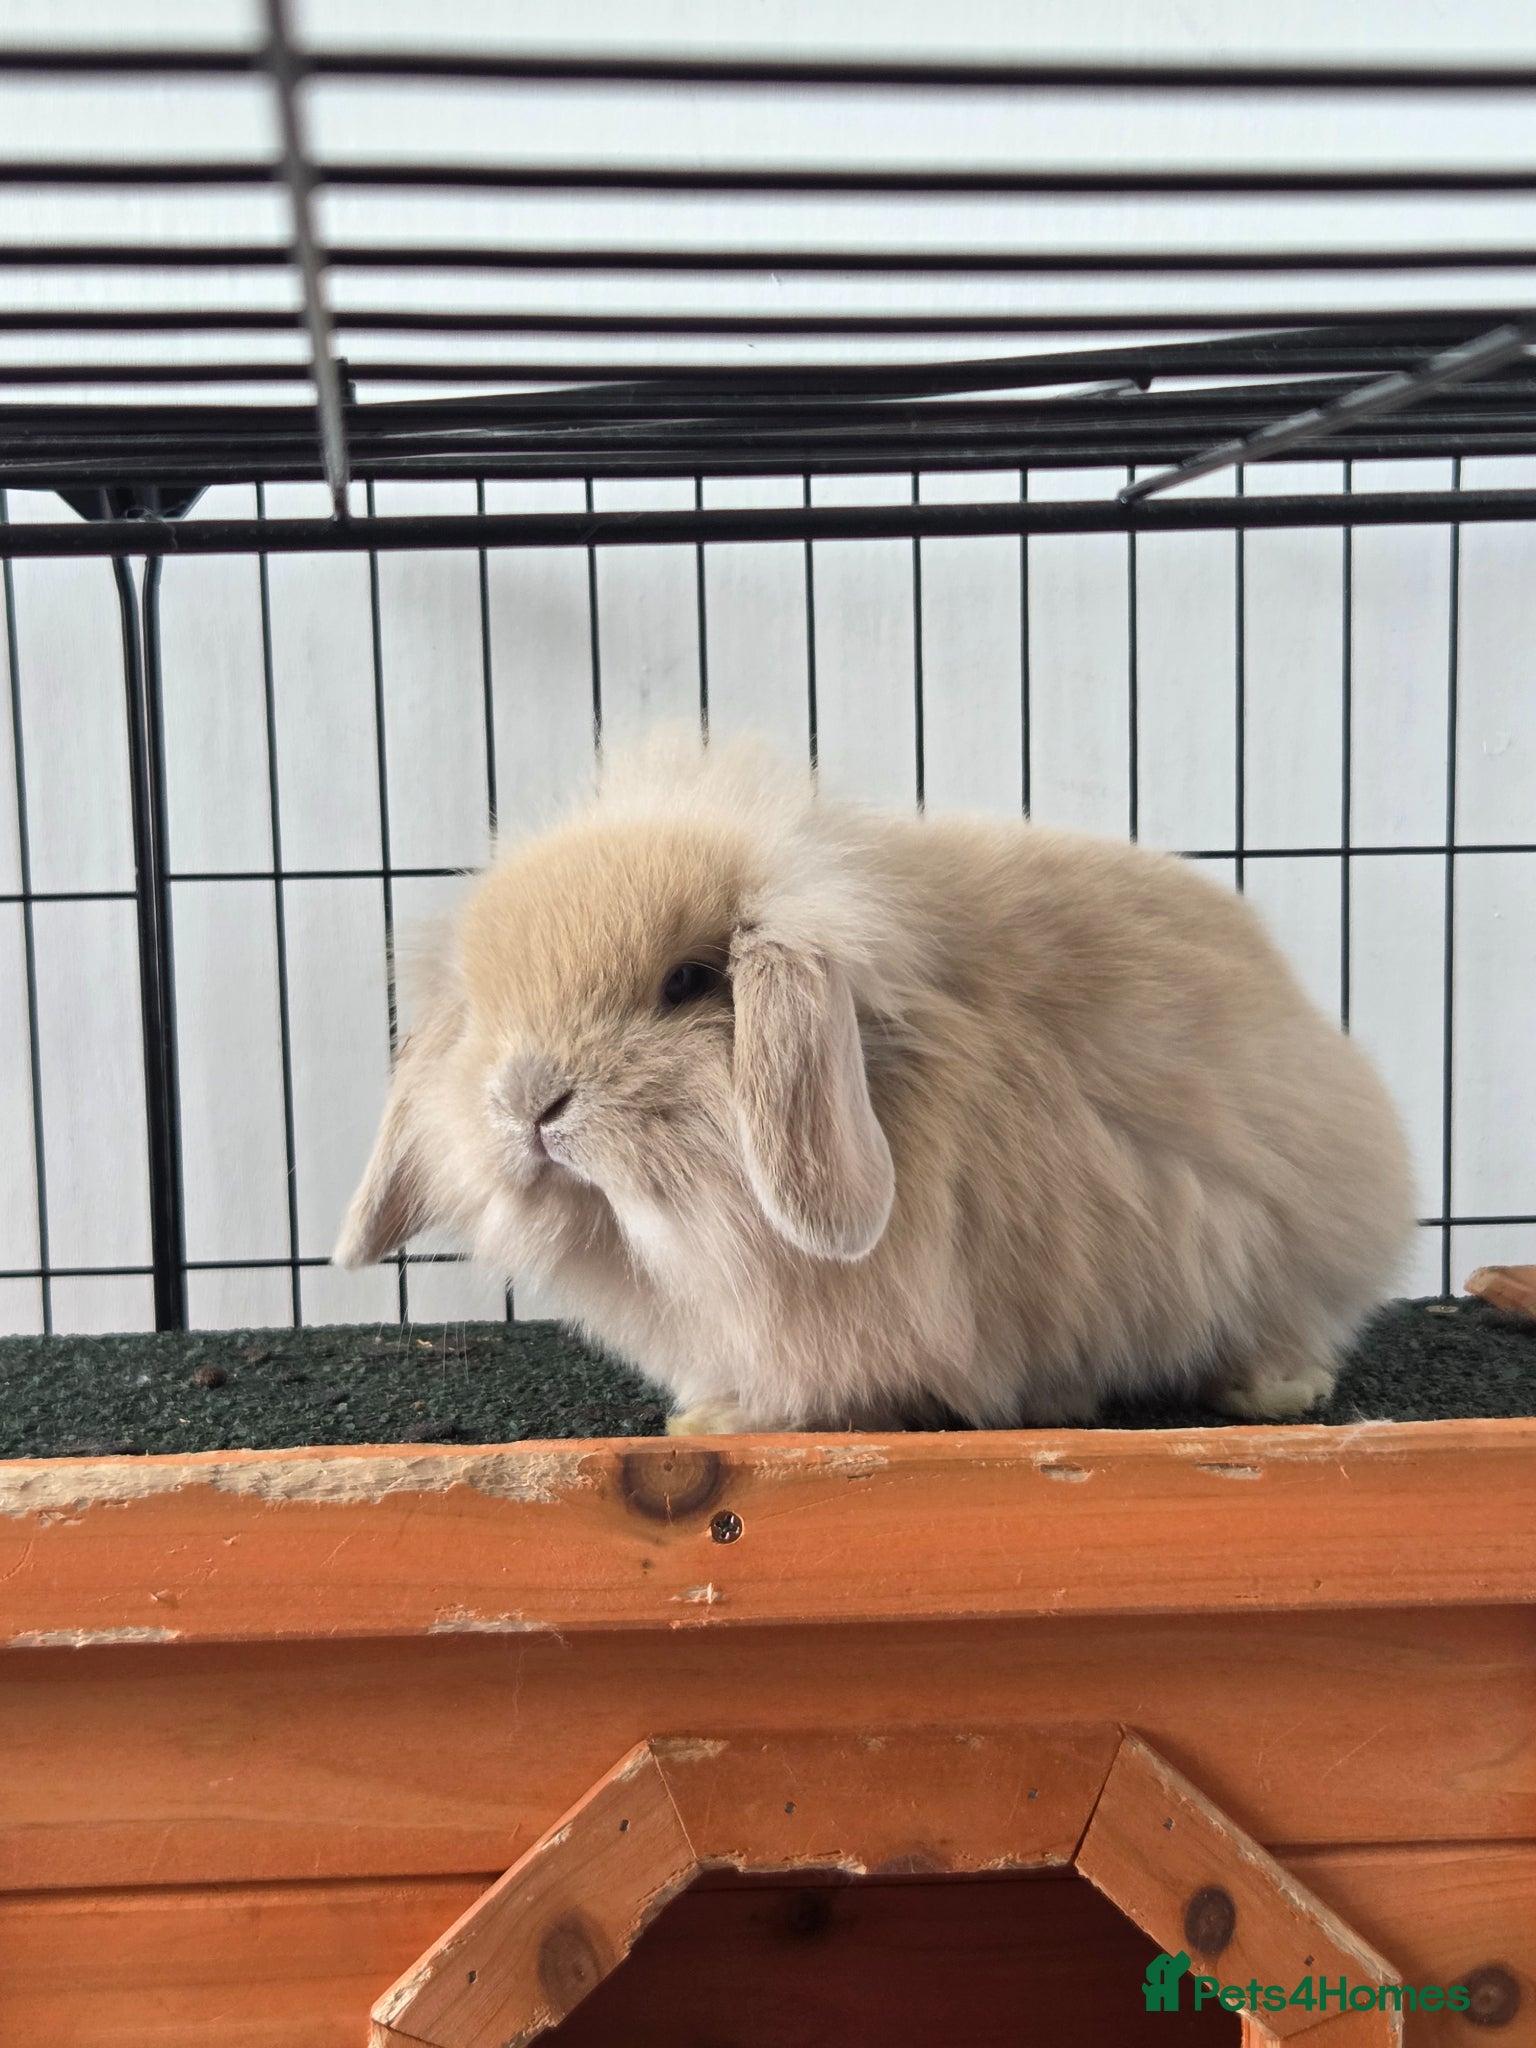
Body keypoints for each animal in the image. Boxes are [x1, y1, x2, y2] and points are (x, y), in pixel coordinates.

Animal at [335, 727, 1416, 1435]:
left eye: (686, 983)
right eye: (481, 1003)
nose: (529, 1100)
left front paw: (725, 1423)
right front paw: (707, 1411)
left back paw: (1268, 1389)